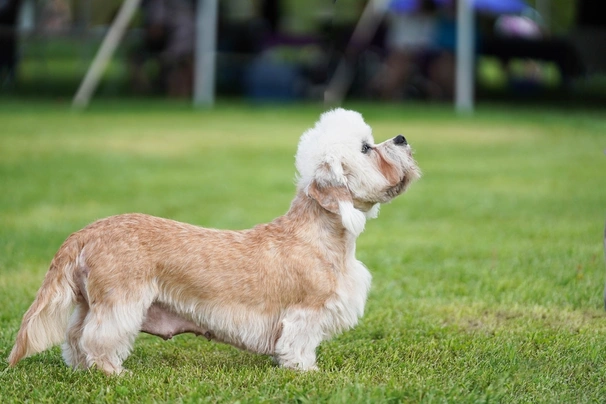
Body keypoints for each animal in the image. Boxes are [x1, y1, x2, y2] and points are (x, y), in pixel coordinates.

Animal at [8, 109, 422, 374]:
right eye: (367, 148)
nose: (403, 138)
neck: (317, 235)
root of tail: (85, 233)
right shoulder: (306, 312)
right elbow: (299, 345)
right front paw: (306, 371)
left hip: (87, 302)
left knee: (74, 336)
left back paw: (82, 369)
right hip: (119, 303)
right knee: (97, 338)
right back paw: (112, 372)